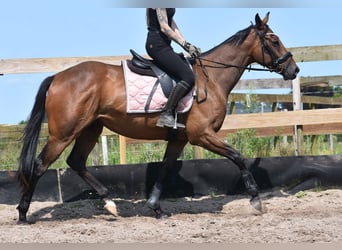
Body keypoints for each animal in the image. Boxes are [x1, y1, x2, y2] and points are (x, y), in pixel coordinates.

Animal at [16, 12, 300, 223]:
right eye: (274, 40)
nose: (294, 69)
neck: (212, 79)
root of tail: (58, 77)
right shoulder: (202, 135)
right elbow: (238, 156)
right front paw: (256, 200)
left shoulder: (179, 138)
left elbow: (164, 169)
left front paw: (155, 207)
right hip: (63, 133)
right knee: (39, 165)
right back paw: (22, 213)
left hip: (90, 128)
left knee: (76, 161)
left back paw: (110, 203)